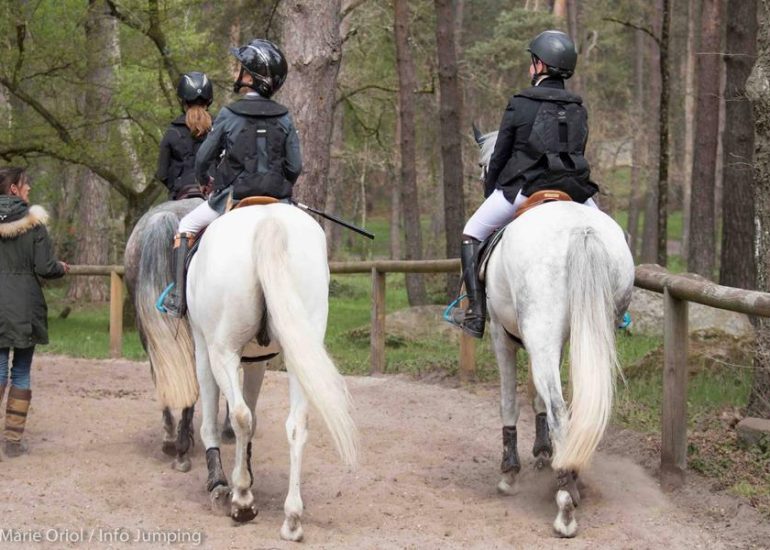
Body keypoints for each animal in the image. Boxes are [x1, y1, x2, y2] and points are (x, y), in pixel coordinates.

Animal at [186, 203, 356, 544]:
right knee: (296, 425)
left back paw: (242, 500)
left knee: (240, 415)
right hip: (299, 346)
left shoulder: (204, 348)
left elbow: (215, 420)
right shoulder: (257, 360)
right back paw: (292, 519)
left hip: (222, 351)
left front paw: (221, 484)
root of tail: (268, 220)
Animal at [476, 132, 632, 536]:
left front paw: (510, 472)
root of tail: (581, 230)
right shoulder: (552, 341)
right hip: (590, 335)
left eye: (485, 164)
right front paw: (544, 453)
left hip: (538, 331)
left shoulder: (501, 335)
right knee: (580, 402)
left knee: (562, 407)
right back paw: (571, 474)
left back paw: (565, 503)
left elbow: (510, 400)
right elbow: (537, 397)